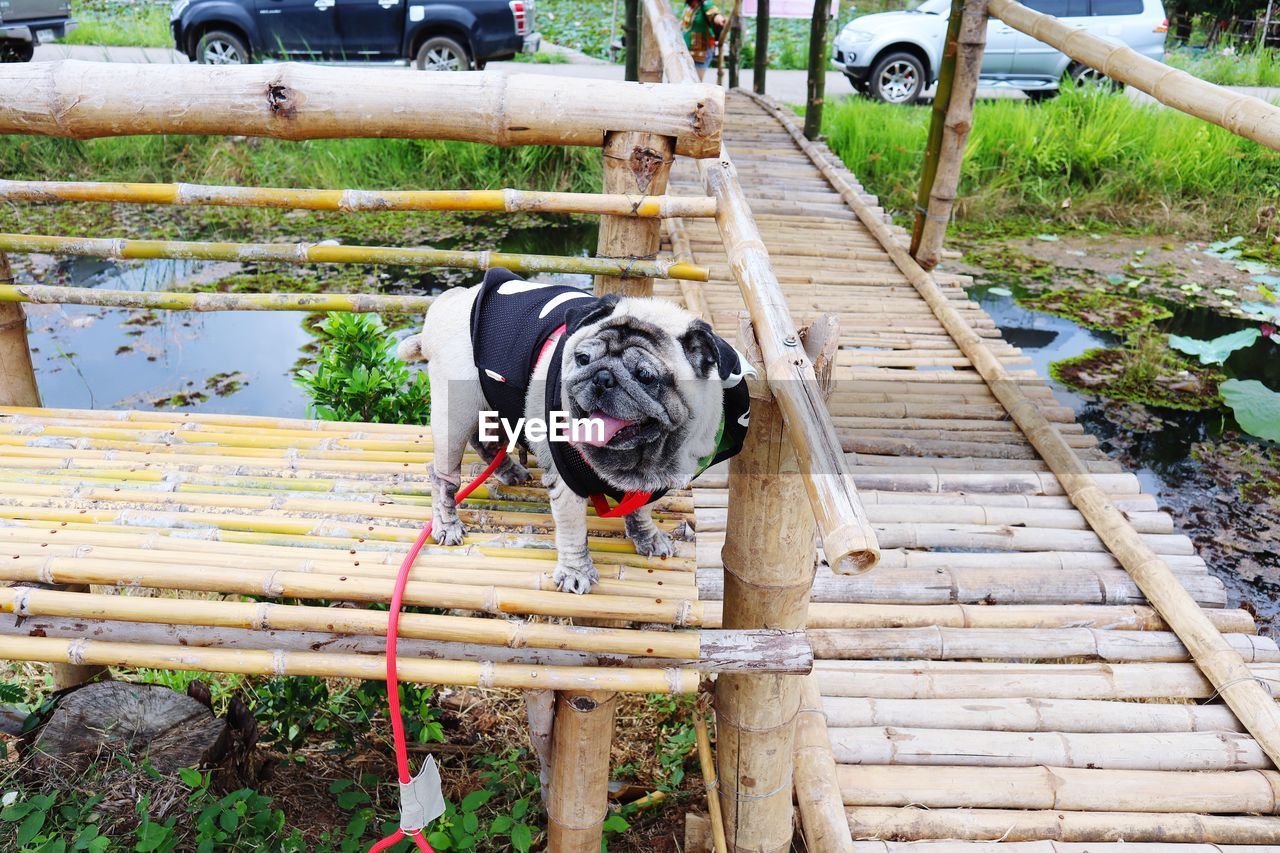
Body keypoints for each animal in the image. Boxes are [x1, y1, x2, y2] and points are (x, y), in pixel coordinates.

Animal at [394, 266, 747, 591]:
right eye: (582, 358)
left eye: (646, 376)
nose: (603, 377)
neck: (639, 459)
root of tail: (448, 302)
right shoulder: (566, 483)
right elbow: (574, 530)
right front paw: (577, 573)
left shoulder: (648, 483)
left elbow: (641, 509)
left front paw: (646, 536)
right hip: (456, 412)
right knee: (443, 477)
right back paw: (447, 524)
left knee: (485, 442)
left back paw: (508, 470)